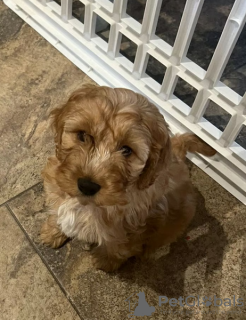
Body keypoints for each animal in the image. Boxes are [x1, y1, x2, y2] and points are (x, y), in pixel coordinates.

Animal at [40, 84, 215, 272]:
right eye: (82, 135)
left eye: (126, 150)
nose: (87, 185)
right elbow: (56, 212)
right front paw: (51, 232)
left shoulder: (134, 228)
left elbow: (118, 247)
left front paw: (105, 262)